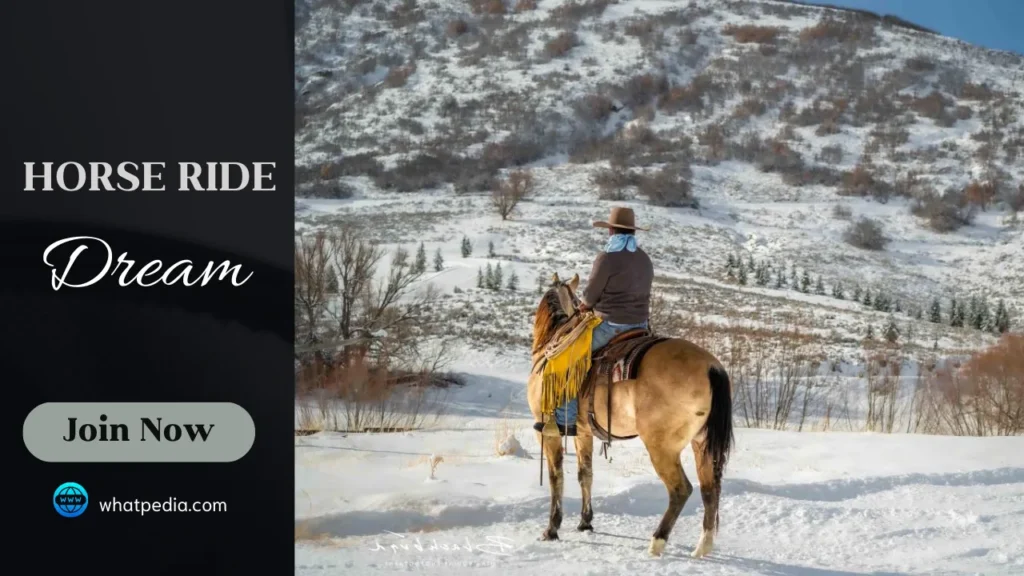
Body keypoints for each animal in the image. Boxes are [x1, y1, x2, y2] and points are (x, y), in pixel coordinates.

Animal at [528, 272, 737, 557]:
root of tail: (712, 368)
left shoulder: (547, 433)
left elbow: (555, 476)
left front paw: (552, 529)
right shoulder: (583, 432)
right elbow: (586, 474)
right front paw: (585, 522)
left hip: (662, 447)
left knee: (681, 490)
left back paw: (657, 542)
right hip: (702, 444)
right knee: (709, 489)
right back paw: (702, 548)